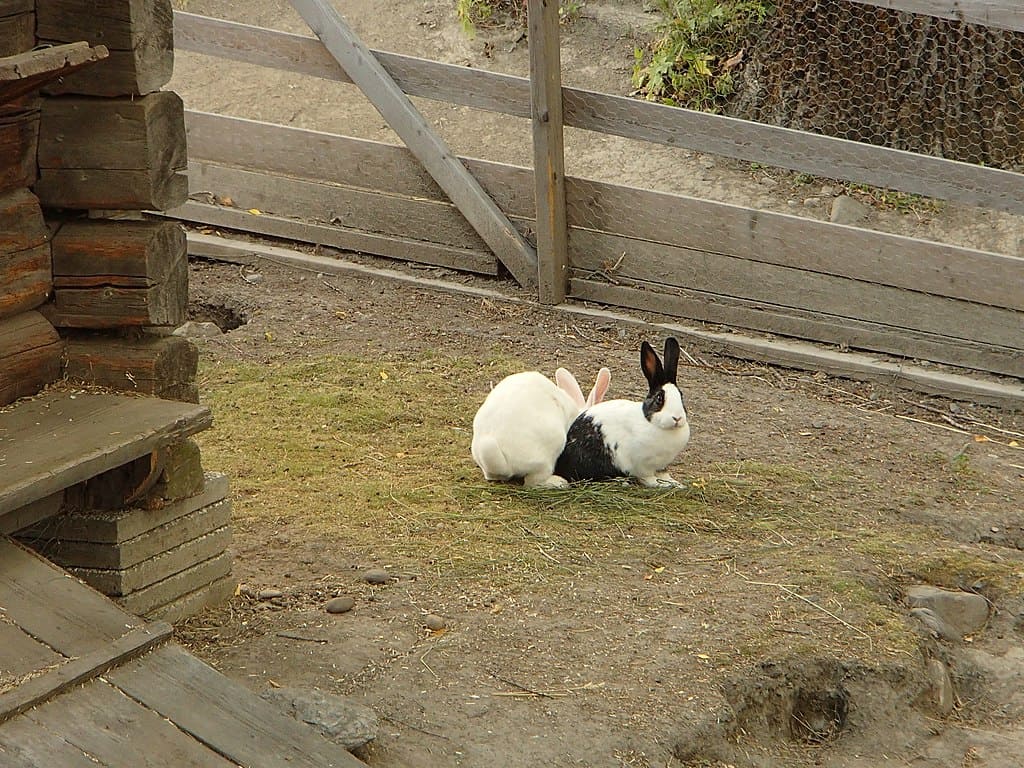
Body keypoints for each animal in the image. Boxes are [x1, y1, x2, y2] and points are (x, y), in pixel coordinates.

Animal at [555, 338, 690, 488]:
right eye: (659, 399)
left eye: (681, 396)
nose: (677, 418)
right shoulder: (642, 466)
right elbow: (648, 478)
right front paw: (660, 484)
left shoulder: (662, 466)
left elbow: (664, 474)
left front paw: (676, 484)